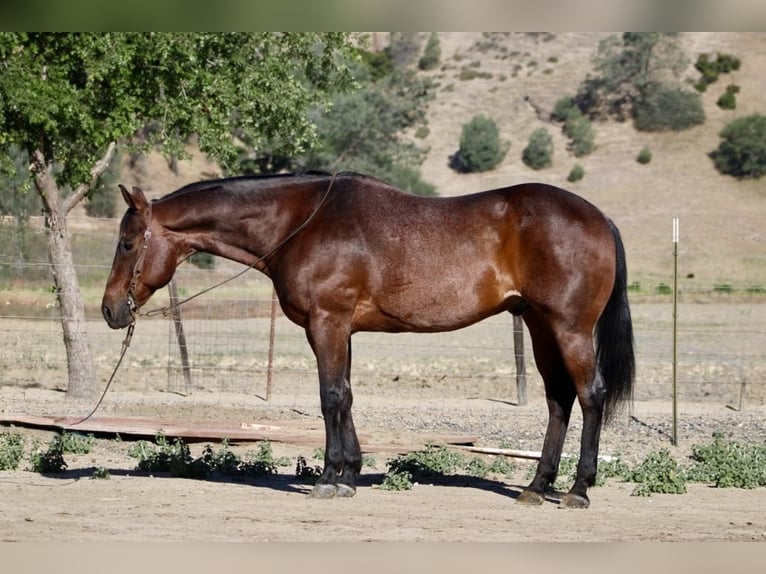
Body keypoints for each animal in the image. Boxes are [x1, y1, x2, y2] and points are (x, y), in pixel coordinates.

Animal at [102, 171, 635, 508]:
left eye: (127, 243)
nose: (109, 310)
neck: (302, 222)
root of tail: (599, 218)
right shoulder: (343, 329)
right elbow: (348, 396)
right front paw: (350, 474)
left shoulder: (326, 324)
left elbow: (330, 397)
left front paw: (328, 478)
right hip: (541, 327)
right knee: (559, 400)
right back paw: (536, 486)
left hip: (568, 328)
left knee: (590, 396)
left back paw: (578, 490)